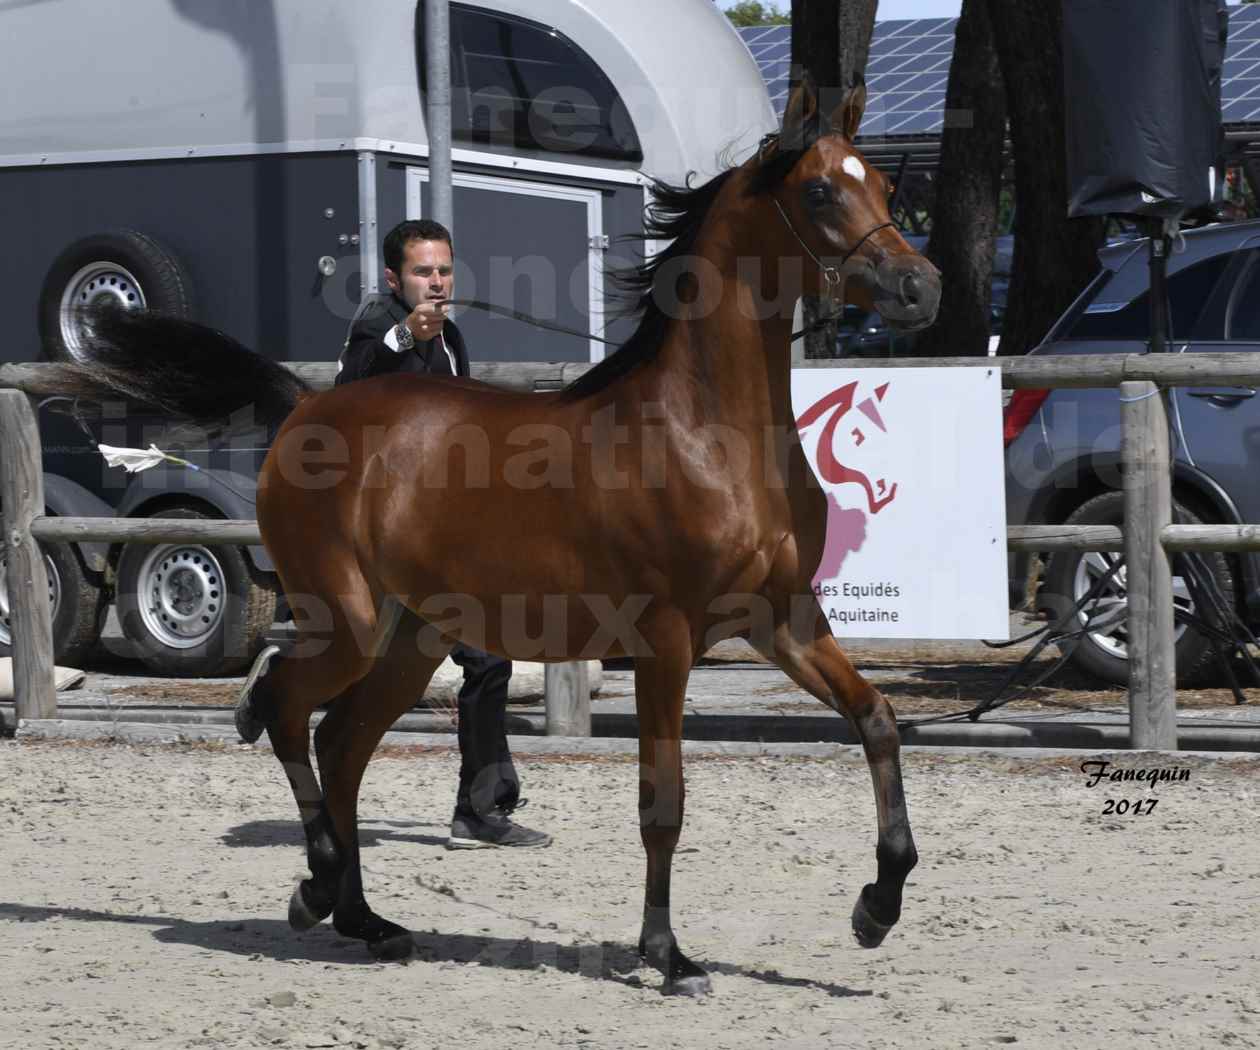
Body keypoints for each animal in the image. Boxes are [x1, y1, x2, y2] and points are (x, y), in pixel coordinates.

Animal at [41, 80, 937, 993]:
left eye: (884, 187)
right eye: (820, 192)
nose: (919, 288)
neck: (708, 434)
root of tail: (306, 403)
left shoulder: (781, 620)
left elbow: (877, 720)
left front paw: (876, 908)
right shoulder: (666, 639)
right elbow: (664, 801)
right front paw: (667, 955)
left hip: (412, 637)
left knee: (342, 741)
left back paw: (365, 920)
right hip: (349, 620)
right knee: (285, 708)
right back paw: (316, 887)